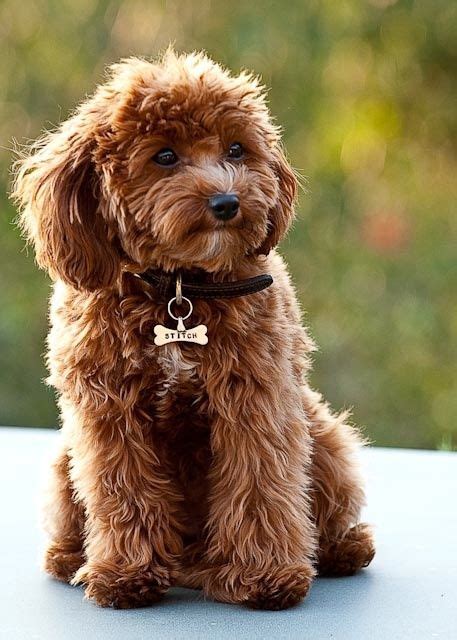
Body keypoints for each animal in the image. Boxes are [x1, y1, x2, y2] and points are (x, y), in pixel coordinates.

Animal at [11, 50, 374, 608]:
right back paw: (72, 558)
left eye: (236, 149)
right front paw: (126, 574)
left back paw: (340, 549)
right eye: (164, 156)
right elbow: (124, 490)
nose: (227, 202)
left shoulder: (255, 401)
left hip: (323, 436)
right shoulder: (110, 414)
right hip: (64, 460)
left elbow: (258, 483)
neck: (179, 287)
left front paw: (264, 576)